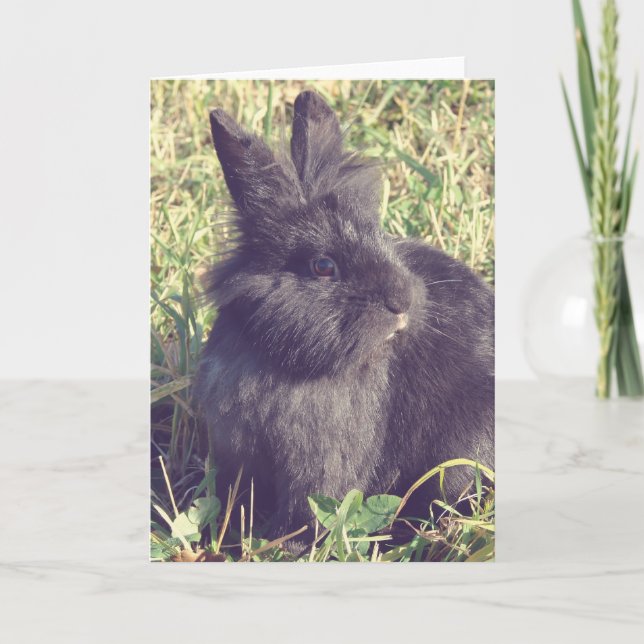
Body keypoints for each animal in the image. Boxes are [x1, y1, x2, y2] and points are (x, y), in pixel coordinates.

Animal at [195, 90, 494, 546]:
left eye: (377, 234)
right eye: (323, 266)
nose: (403, 301)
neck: (288, 362)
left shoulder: (321, 465)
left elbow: (310, 507)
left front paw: (286, 545)